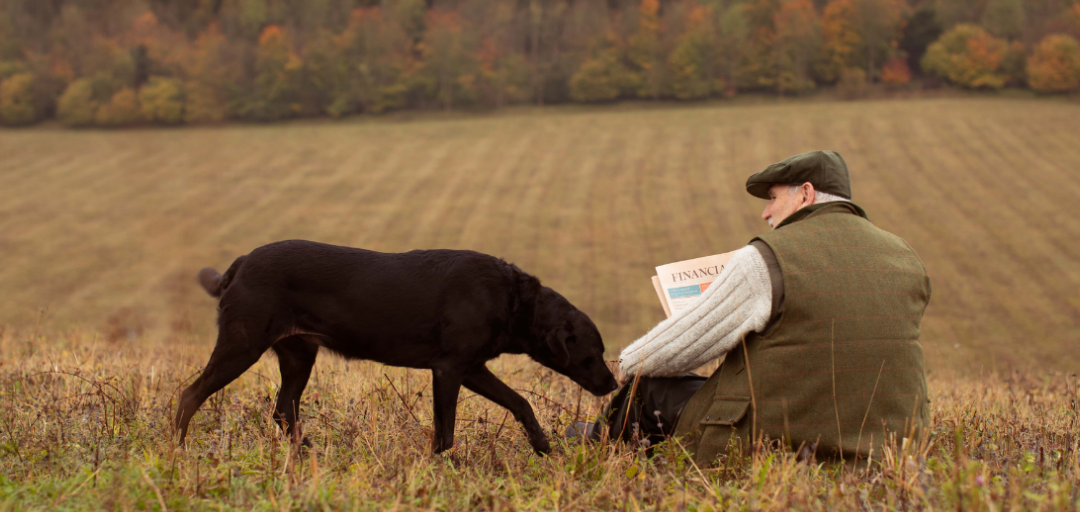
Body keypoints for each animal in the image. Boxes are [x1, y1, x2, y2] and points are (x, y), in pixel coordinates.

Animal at [177, 239, 617, 451]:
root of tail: (241, 263)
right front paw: (441, 467)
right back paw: (178, 448)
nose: (613, 385)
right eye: (594, 354)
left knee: (283, 409)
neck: (512, 299)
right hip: (242, 344)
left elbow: (520, 402)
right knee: (190, 394)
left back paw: (307, 454)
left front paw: (543, 446)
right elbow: (446, 431)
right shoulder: (450, 368)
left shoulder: (472, 368)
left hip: (299, 354)